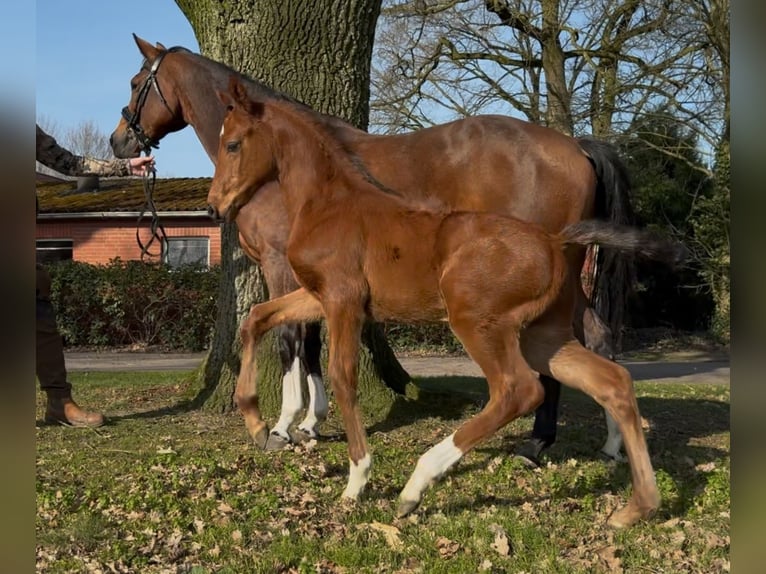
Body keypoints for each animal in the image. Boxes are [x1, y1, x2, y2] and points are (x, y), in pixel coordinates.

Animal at [207, 81, 668, 532]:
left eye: (232, 144)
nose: (214, 206)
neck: (330, 204)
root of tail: (555, 242)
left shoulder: (343, 299)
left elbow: (342, 376)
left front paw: (357, 478)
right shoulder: (314, 295)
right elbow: (257, 319)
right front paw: (258, 424)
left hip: (476, 322)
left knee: (518, 389)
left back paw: (417, 483)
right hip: (544, 335)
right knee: (612, 380)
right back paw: (637, 506)